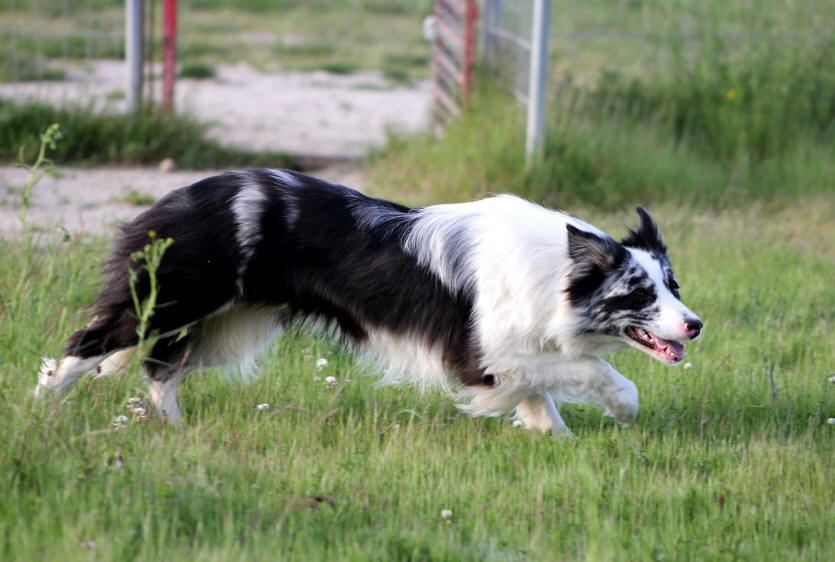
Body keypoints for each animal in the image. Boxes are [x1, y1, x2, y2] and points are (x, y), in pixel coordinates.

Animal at [32, 167, 704, 434]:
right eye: (639, 293)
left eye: (673, 286)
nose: (696, 325)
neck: (560, 266)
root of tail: (173, 199)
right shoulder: (480, 353)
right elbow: (590, 367)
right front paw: (623, 406)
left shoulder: (509, 355)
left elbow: (543, 398)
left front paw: (555, 440)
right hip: (174, 301)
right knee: (88, 344)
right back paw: (39, 409)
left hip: (228, 327)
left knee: (161, 369)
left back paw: (173, 431)